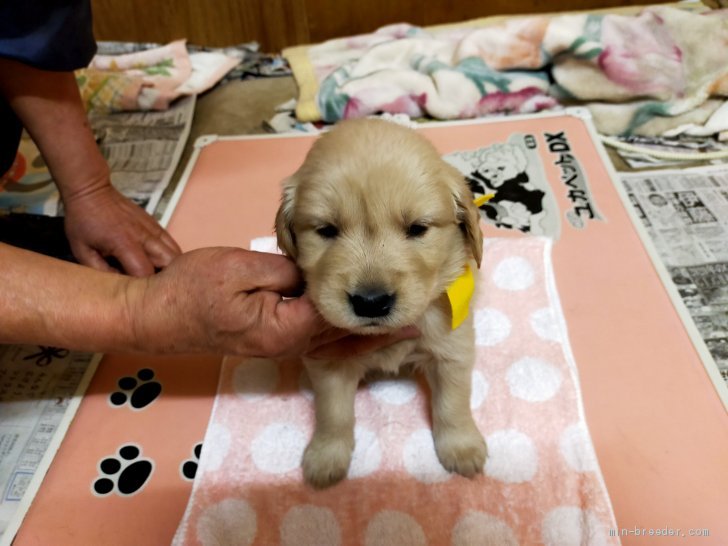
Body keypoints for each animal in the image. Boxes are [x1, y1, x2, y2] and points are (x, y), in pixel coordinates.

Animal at [276, 118, 486, 484]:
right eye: (326, 230)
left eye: (417, 228)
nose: (371, 302)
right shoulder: (327, 360)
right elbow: (333, 411)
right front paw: (326, 455)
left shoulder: (452, 347)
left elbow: (452, 402)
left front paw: (462, 447)